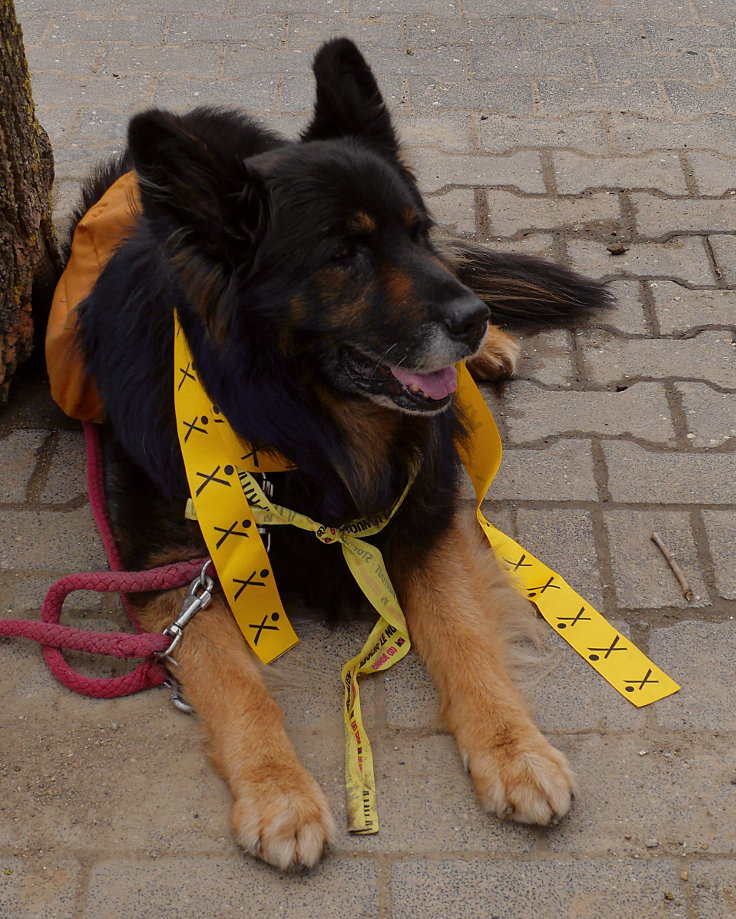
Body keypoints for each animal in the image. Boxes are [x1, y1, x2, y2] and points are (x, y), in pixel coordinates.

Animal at [59, 37, 608, 868]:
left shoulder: (427, 517)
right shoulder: (174, 570)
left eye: (416, 231)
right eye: (346, 253)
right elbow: (240, 687)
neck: (299, 429)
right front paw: (280, 793)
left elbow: (465, 638)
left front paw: (516, 751)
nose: (474, 320)